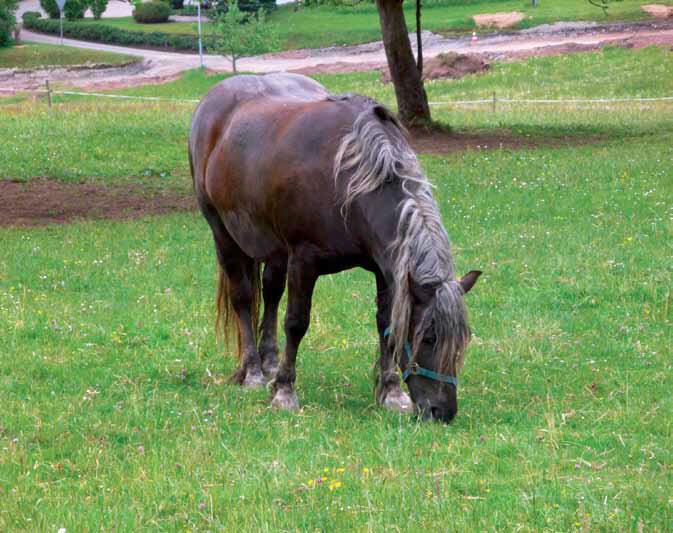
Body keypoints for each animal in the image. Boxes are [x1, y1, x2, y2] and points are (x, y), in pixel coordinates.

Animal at [188, 73, 481, 423]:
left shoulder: (384, 268)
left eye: (462, 340)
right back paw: (255, 371)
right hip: (224, 235)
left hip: (274, 251)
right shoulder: (303, 260)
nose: (442, 411)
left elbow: (385, 324)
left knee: (270, 294)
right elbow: (296, 323)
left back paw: (270, 361)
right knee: (243, 299)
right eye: (429, 337)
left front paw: (391, 392)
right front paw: (284, 391)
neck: (349, 178)